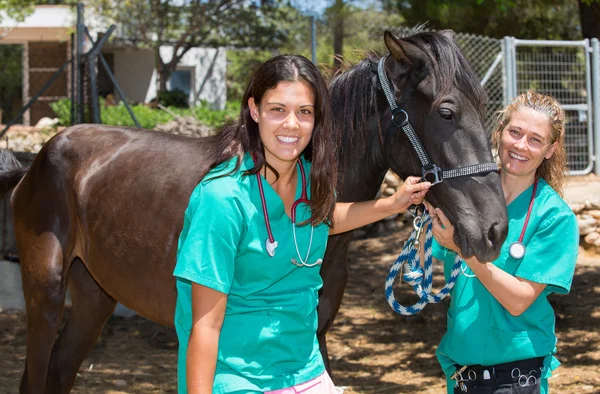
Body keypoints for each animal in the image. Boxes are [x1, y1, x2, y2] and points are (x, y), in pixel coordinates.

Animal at [1, 29, 506, 392]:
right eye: (446, 112)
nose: (495, 229)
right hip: (45, 294)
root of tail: (41, 157)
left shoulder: (315, 334)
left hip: (94, 297)